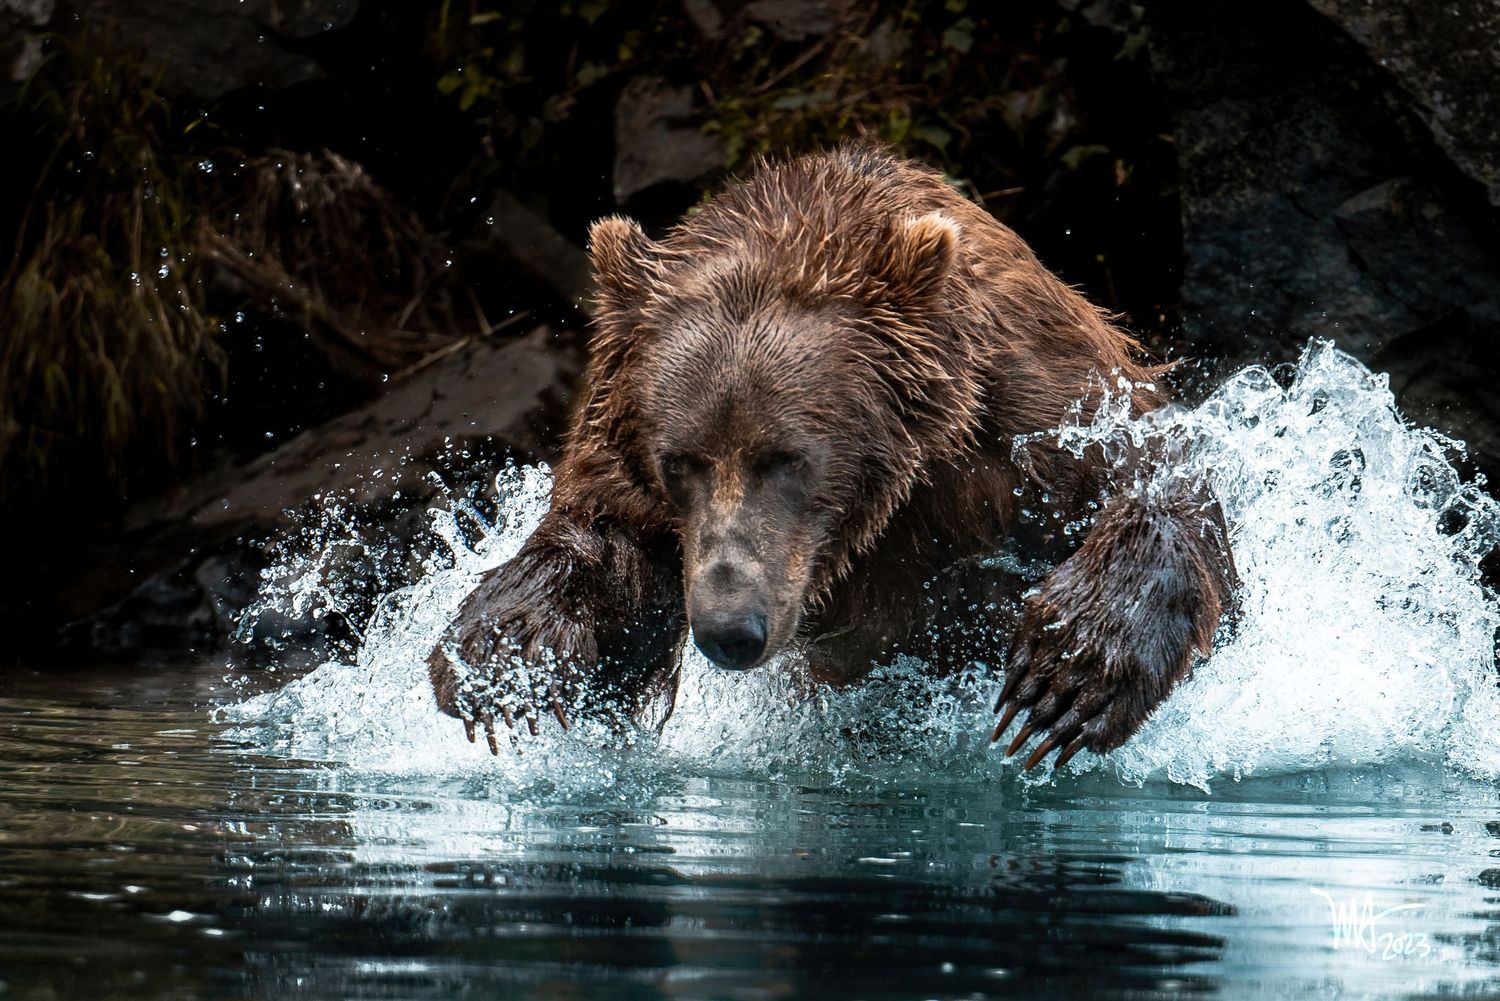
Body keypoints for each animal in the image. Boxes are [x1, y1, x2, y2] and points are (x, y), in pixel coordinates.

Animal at [427, 145, 1238, 770]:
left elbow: (1156, 479)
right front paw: (498, 658)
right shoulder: (630, 467)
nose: (729, 627)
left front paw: (1065, 675)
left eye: (787, 457)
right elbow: (605, 557)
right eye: (679, 460)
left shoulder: (1031, 414)